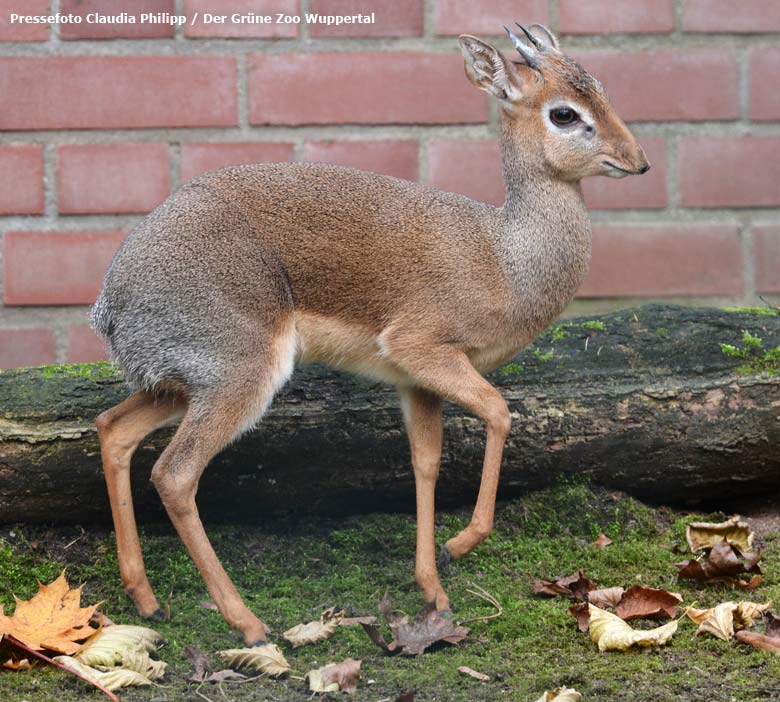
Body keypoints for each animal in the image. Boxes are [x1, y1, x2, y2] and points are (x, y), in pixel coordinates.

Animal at [94, 24, 648, 648]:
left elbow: (426, 461)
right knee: (174, 474)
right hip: (240, 374)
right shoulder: (422, 347)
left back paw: (146, 600)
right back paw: (247, 623)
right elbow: (500, 411)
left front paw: (432, 585)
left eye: (602, 88)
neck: (504, 256)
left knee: (113, 429)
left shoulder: (416, 381)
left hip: (181, 385)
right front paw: (459, 545)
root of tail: (110, 302)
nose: (638, 161)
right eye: (563, 112)